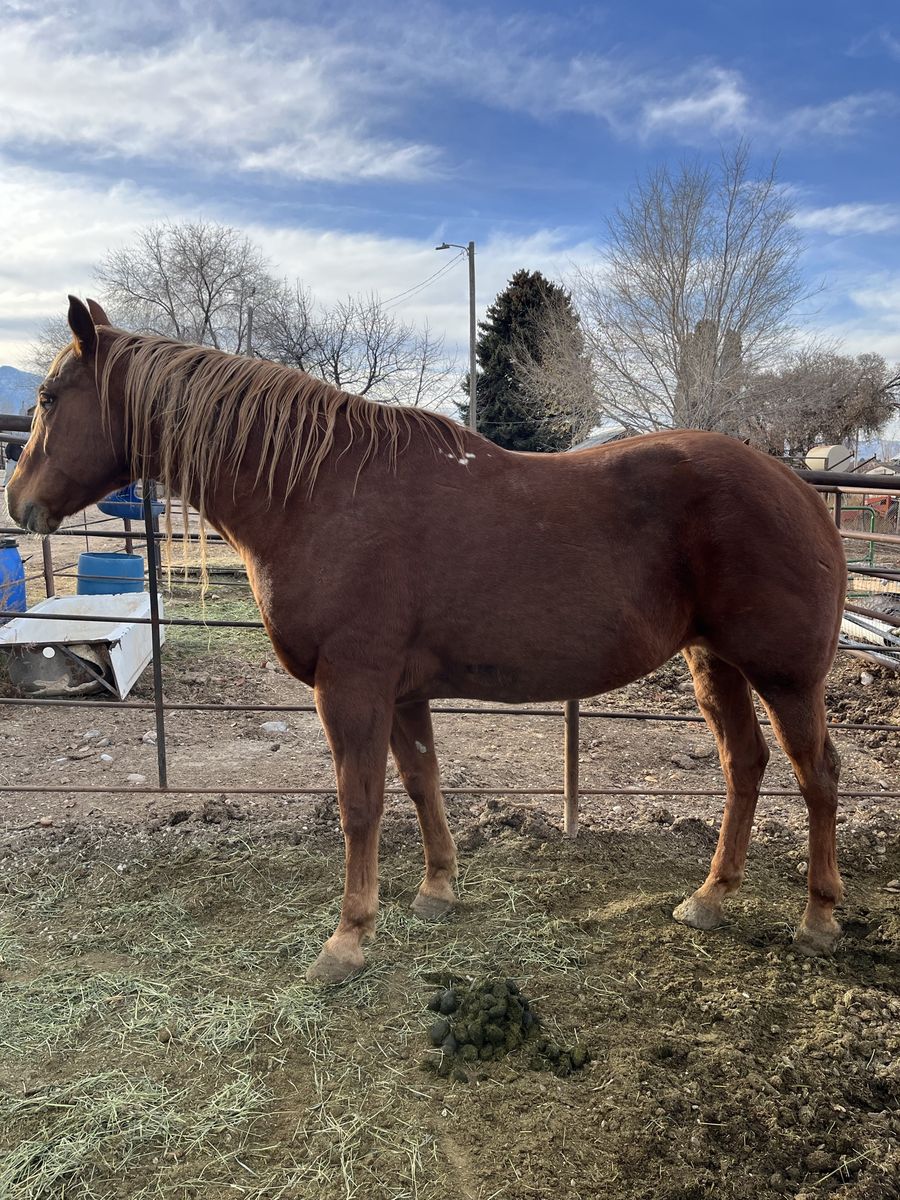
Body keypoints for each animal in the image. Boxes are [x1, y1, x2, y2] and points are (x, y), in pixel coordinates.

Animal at [8, 296, 847, 982]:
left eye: (48, 398)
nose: (19, 503)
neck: (316, 494)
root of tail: (799, 489)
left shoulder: (352, 687)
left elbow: (360, 803)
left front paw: (348, 939)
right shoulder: (402, 692)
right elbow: (420, 781)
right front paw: (437, 889)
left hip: (786, 677)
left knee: (818, 775)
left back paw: (818, 918)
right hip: (715, 663)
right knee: (745, 765)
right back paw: (710, 898)